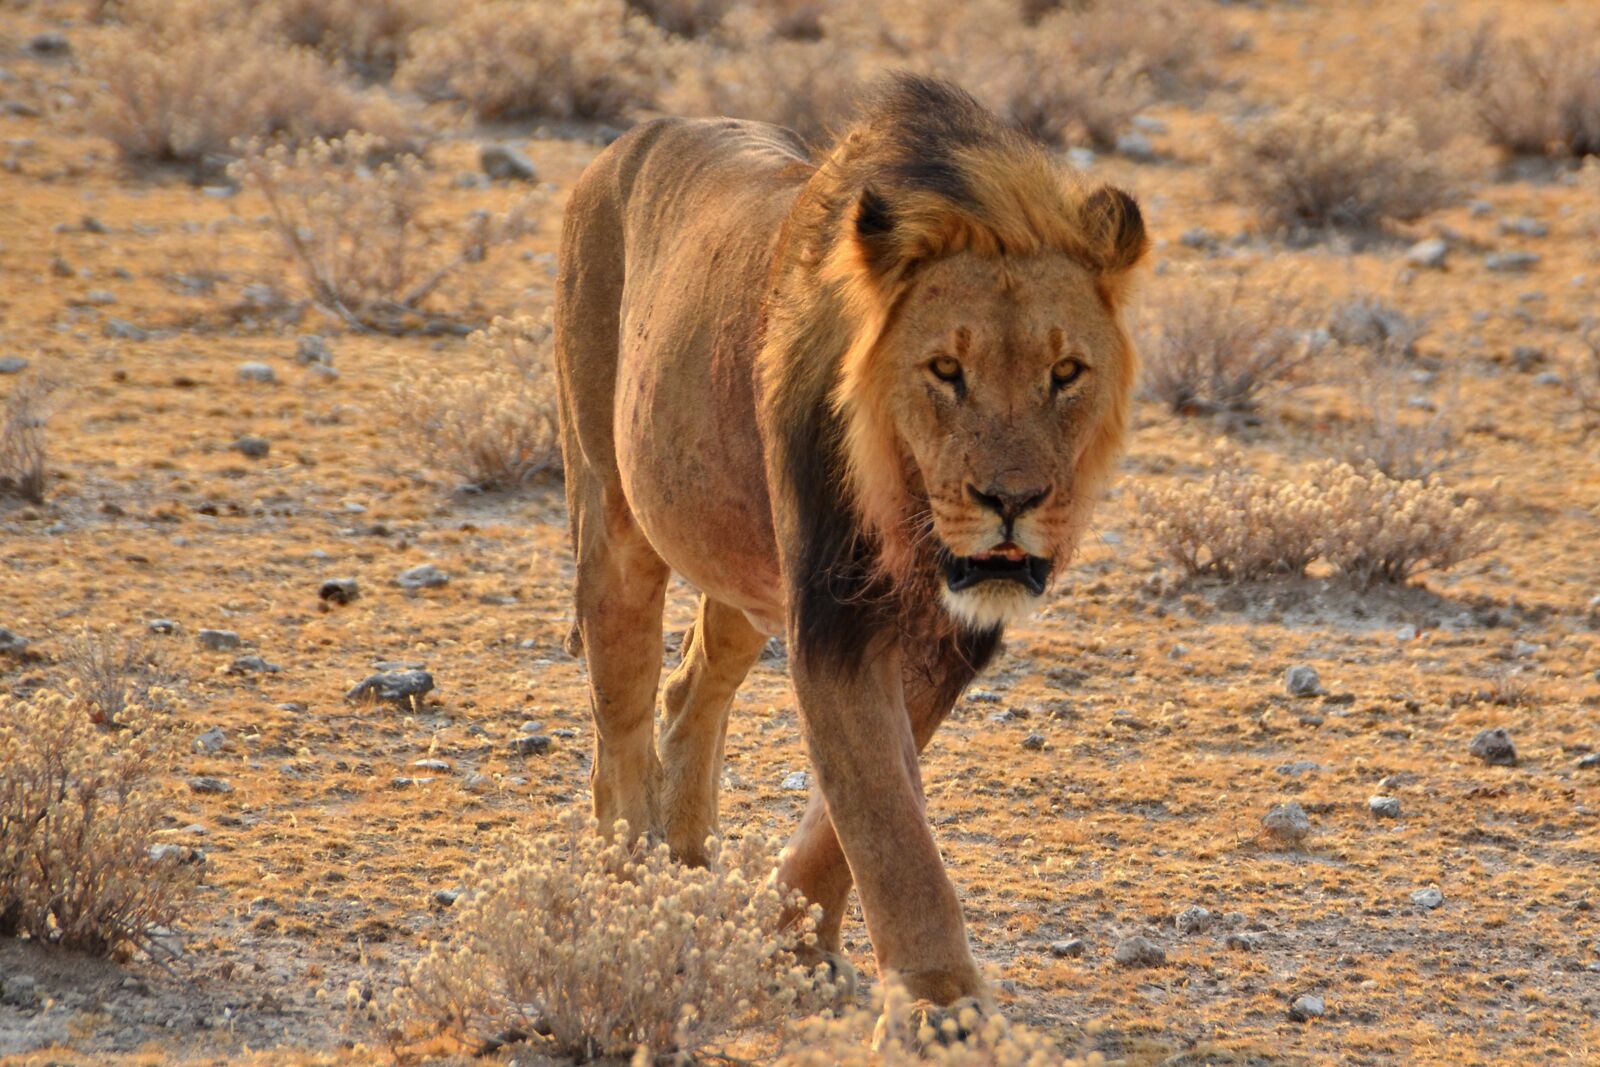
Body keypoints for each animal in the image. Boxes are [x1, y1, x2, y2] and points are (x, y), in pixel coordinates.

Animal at [553, 74, 1147, 1029]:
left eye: (1066, 374)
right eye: (946, 370)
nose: (1012, 502)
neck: (912, 519)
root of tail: (624, 143)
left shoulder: (945, 638)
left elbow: (851, 812)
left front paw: (787, 934)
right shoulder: (837, 617)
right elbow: (883, 813)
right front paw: (943, 1005)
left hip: (740, 555)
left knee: (694, 681)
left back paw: (688, 861)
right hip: (613, 514)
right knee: (622, 714)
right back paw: (632, 884)